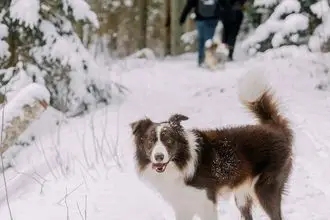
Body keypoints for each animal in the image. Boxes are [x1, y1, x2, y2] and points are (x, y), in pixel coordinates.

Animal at [130, 71, 292, 220]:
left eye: (168, 140)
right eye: (150, 141)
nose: (159, 157)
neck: (180, 162)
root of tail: (274, 127)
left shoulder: (206, 202)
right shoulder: (182, 205)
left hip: (265, 189)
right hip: (242, 193)